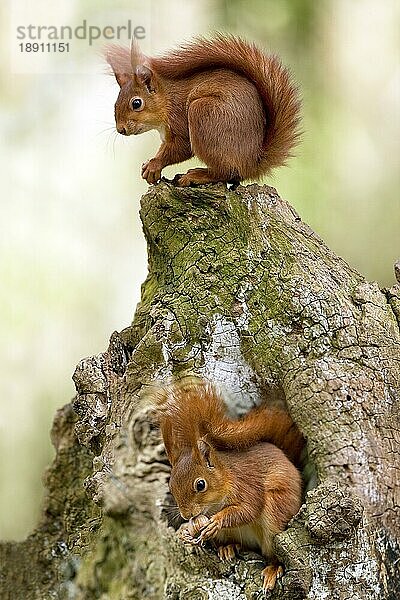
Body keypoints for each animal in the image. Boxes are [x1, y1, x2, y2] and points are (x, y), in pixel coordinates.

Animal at [105, 35, 300, 185]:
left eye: (136, 103)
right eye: (115, 104)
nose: (121, 129)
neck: (167, 101)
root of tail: (252, 163)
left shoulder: (179, 120)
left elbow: (181, 148)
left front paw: (154, 164)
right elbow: (164, 148)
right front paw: (149, 165)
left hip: (203, 113)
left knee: (227, 172)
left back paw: (197, 175)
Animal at [152, 380, 304, 592]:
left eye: (201, 485)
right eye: (171, 486)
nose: (187, 515)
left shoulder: (246, 485)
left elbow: (248, 509)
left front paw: (216, 521)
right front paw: (185, 530)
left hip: (276, 514)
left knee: (273, 552)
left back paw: (273, 568)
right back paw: (228, 547)